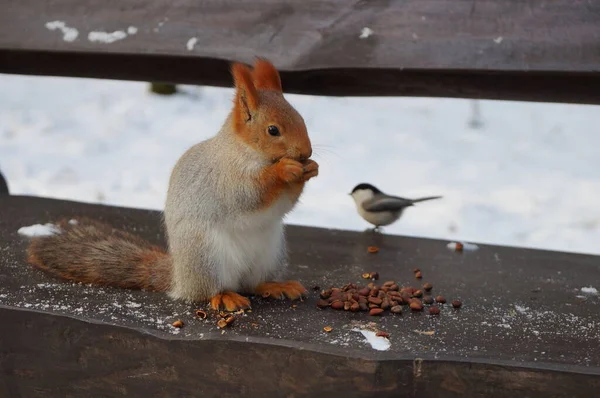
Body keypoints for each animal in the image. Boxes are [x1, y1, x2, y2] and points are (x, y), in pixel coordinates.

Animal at [25, 59, 318, 312]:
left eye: (302, 119)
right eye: (273, 130)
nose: (306, 152)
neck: (246, 151)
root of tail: (179, 278)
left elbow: (284, 204)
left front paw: (311, 168)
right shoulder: (225, 179)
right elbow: (250, 195)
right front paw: (284, 170)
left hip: (270, 253)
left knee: (252, 283)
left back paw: (276, 285)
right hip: (205, 255)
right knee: (209, 291)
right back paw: (225, 296)